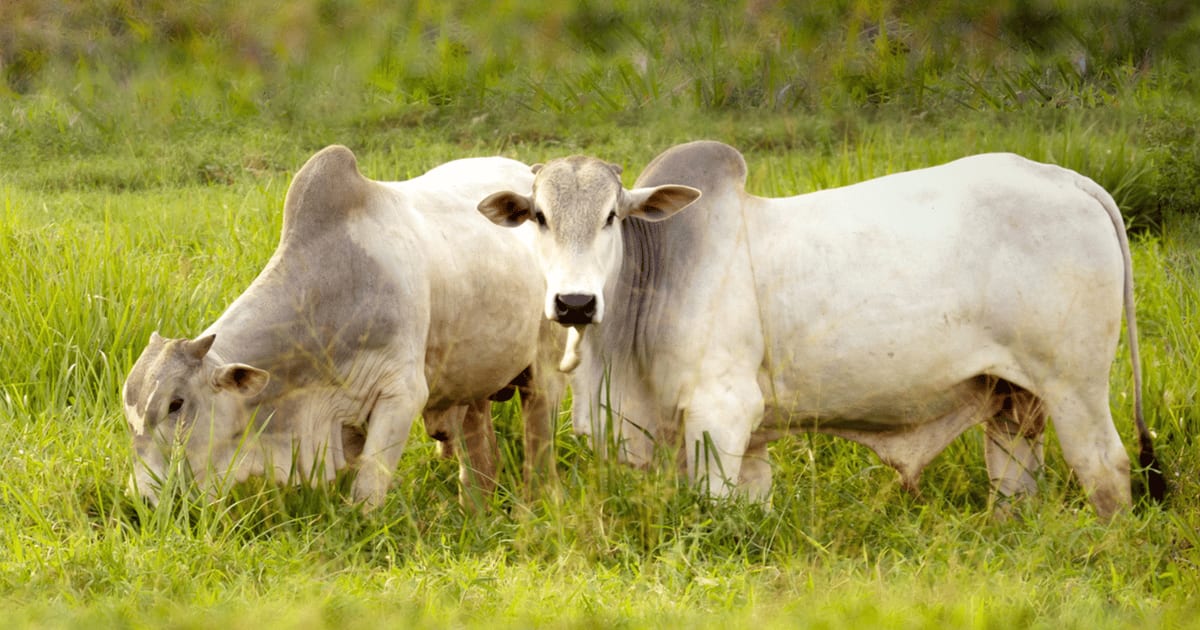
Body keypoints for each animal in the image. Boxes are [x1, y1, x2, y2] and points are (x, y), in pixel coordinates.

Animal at [123, 145, 564, 509]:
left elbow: (367, 495)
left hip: (544, 366)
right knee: (478, 448)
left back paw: (539, 498)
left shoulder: (401, 394)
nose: (143, 499)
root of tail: (528, 170)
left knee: (538, 432)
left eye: (176, 404)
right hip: (472, 376)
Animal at [477, 140, 1164, 519]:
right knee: (1015, 482)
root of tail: (1067, 178)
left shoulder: (722, 412)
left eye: (612, 217)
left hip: (1075, 387)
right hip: (1013, 399)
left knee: (1107, 472)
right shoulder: (739, 441)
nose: (573, 303)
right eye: (538, 216)